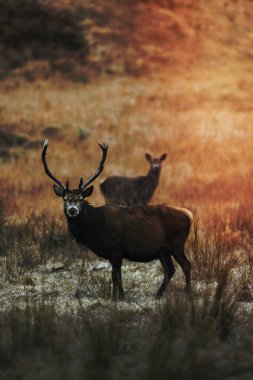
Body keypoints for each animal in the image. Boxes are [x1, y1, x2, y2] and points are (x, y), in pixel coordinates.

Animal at [42, 141, 192, 302]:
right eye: (65, 199)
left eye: (81, 199)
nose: (72, 210)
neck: (95, 229)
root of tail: (189, 215)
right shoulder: (113, 254)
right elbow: (116, 276)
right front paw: (119, 296)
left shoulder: (116, 249)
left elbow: (115, 276)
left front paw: (117, 297)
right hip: (163, 250)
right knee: (170, 269)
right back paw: (158, 295)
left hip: (177, 243)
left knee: (186, 265)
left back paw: (188, 293)